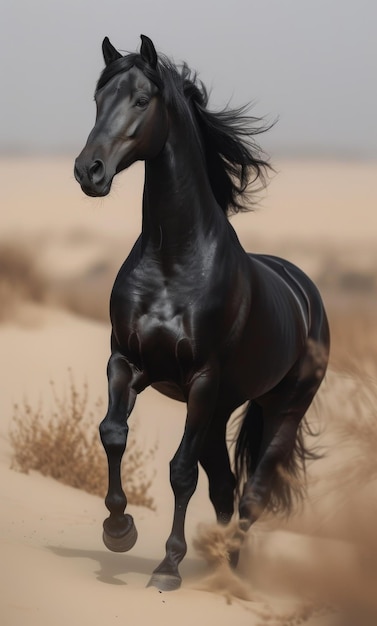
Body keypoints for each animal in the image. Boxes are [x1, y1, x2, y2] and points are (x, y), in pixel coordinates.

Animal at [74, 35, 328, 588]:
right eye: (98, 99)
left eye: (141, 100)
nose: (89, 171)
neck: (173, 260)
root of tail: (307, 295)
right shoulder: (126, 362)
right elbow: (113, 433)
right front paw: (119, 530)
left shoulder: (202, 379)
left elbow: (180, 472)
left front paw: (167, 566)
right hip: (219, 413)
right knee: (225, 487)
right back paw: (219, 566)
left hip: (279, 411)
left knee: (251, 493)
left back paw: (229, 572)